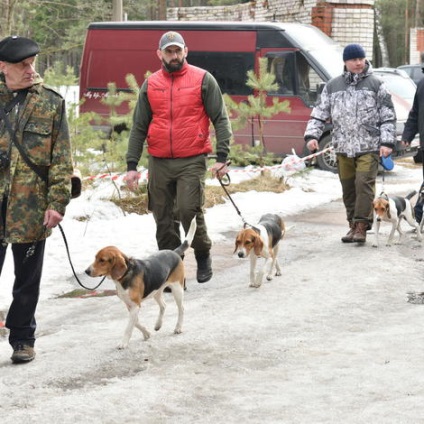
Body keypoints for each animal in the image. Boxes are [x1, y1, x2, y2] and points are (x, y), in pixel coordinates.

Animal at [86, 217, 199, 350]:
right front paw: (146, 333)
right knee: (163, 305)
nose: (86, 271)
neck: (126, 273)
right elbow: (136, 322)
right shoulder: (130, 305)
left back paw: (178, 328)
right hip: (156, 290)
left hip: (177, 289)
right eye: (95, 258)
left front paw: (123, 343)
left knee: (181, 308)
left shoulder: (135, 305)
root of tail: (174, 252)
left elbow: (129, 326)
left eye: (102, 260)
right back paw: (158, 324)